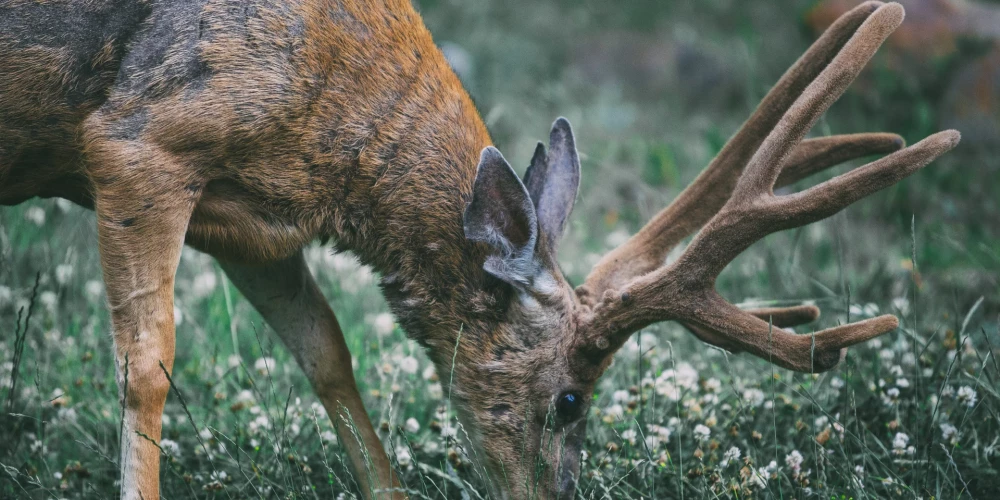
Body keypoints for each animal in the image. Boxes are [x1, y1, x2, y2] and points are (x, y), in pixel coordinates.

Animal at [1, 0, 960, 500]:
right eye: (570, 399)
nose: (556, 498)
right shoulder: (138, 141)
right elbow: (148, 365)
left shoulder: (250, 222)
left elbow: (326, 352)